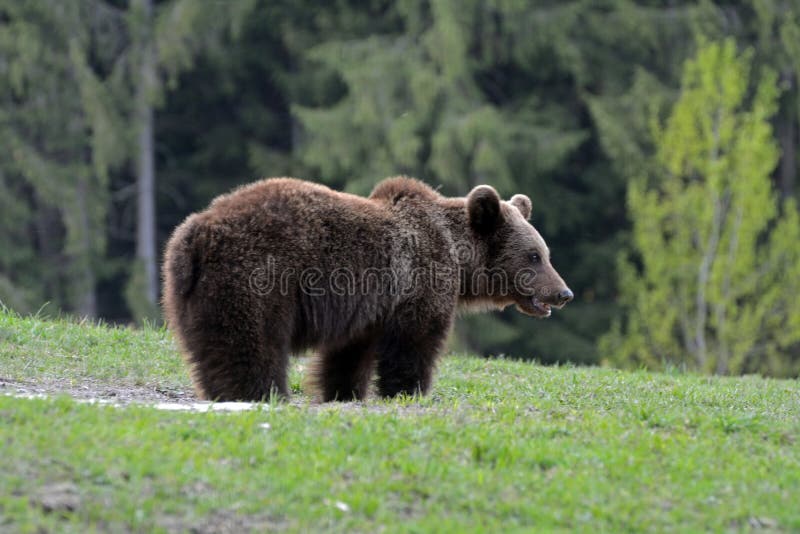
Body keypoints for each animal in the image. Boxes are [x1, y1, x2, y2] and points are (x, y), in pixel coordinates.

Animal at [162, 178, 572, 404]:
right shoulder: (418, 282)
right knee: (251, 344)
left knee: (213, 347)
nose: (563, 292)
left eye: (546, 253)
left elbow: (348, 356)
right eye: (534, 256)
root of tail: (194, 234)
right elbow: (414, 344)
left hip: (191, 295)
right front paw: (408, 391)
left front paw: (342, 391)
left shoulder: (366, 310)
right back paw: (261, 393)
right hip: (258, 277)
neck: (459, 256)